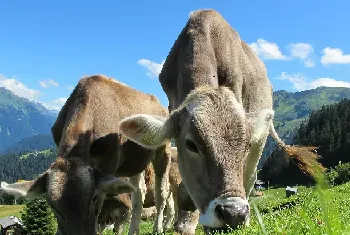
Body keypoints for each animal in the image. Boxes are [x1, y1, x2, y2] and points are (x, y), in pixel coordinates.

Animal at [0, 75, 172, 235]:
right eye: (53, 206)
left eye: (94, 198)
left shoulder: (108, 166)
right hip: (134, 162)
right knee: (139, 193)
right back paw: (134, 230)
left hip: (163, 150)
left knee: (161, 192)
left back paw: (159, 227)